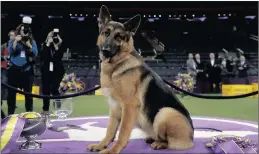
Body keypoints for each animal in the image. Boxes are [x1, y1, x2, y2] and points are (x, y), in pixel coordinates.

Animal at [88, 5, 195, 153]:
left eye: (119, 37)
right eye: (106, 33)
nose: (105, 50)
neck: (117, 66)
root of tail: (191, 137)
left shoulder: (129, 106)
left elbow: (122, 132)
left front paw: (113, 150)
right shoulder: (114, 107)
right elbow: (110, 130)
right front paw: (101, 145)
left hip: (165, 112)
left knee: (168, 141)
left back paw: (159, 143)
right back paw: (152, 138)